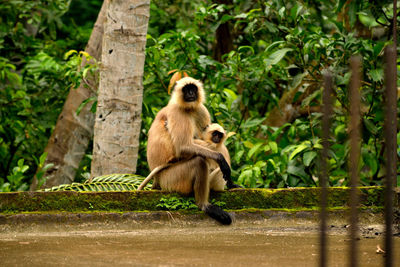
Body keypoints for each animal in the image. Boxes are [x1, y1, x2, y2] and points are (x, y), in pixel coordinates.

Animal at [148, 77, 239, 226]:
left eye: (193, 89)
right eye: (186, 89)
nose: (190, 93)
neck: (188, 109)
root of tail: (157, 180)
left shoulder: (201, 109)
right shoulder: (177, 112)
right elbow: (183, 147)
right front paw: (220, 159)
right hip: (171, 179)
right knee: (199, 161)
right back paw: (204, 206)